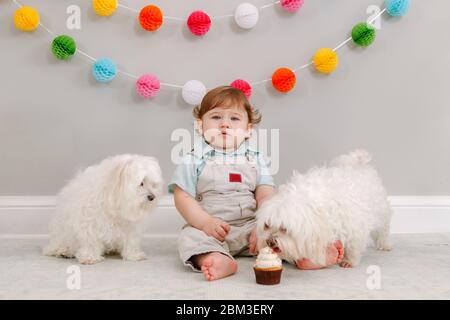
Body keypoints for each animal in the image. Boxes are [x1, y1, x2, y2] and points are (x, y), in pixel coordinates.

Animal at [258, 150, 392, 268]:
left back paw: (384, 244)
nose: (269, 241)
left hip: (381, 211)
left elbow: (353, 246)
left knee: (383, 230)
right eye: (267, 225)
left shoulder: (354, 226)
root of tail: (358, 164)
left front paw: (349, 260)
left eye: (284, 228)